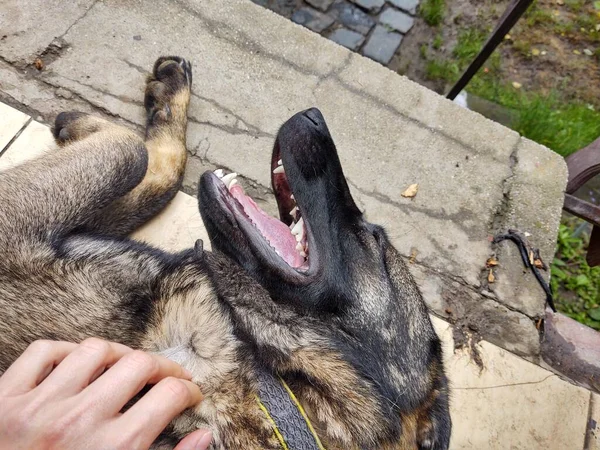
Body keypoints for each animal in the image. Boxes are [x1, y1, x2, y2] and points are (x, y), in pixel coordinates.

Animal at [0, 57, 450, 450]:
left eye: (372, 237)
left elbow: (132, 151)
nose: (313, 115)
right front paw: (167, 100)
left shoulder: (15, 223)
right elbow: (152, 176)